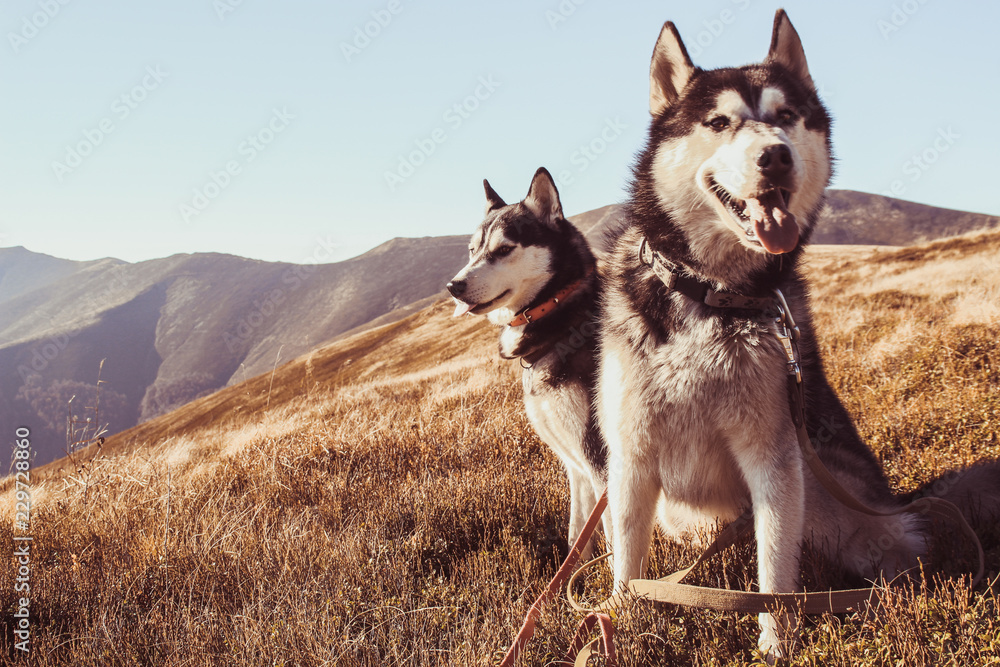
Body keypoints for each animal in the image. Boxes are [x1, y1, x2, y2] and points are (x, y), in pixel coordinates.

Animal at [448, 166, 608, 560]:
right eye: (472, 250)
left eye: (504, 249)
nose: (453, 286)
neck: (561, 318)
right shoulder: (576, 465)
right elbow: (577, 534)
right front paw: (576, 572)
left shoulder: (601, 460)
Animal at [596, 11, 996, 664]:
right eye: (719, 123)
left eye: (786, 116)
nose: (776, 157)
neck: (713, 296)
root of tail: (897, 497)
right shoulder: (631, 458)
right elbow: (628, 566)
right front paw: (619, 625)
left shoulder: (775, 455)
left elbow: (774, 570)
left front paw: (776, 640)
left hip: (827, 487)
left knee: (897, 543)